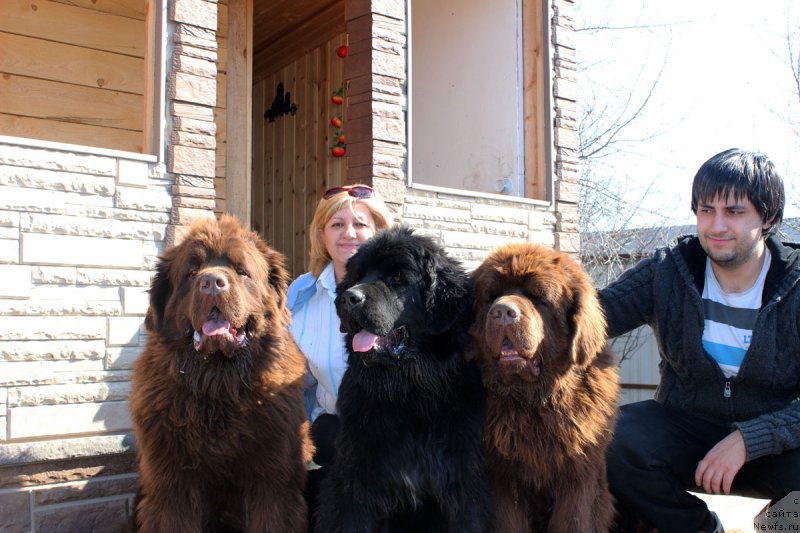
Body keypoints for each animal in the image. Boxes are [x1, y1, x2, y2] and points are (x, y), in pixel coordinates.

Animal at [130, 214, 310, 528]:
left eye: (242, 271)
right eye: (191, 272)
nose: (213, 283)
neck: (218, 383)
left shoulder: (272, 478)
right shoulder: (171, 483)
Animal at [314, 227, 494, 532]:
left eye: (398, 278)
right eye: (359, 276)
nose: (349, 298)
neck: (407, 390)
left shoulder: (465, 483)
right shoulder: (355, 480)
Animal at [468, 243, 620, 528]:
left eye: (538, 297)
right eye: (491, 297)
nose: (502, 312)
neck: (533, 400)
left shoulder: (577, 480)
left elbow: (574, 522)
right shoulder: (502, 481)